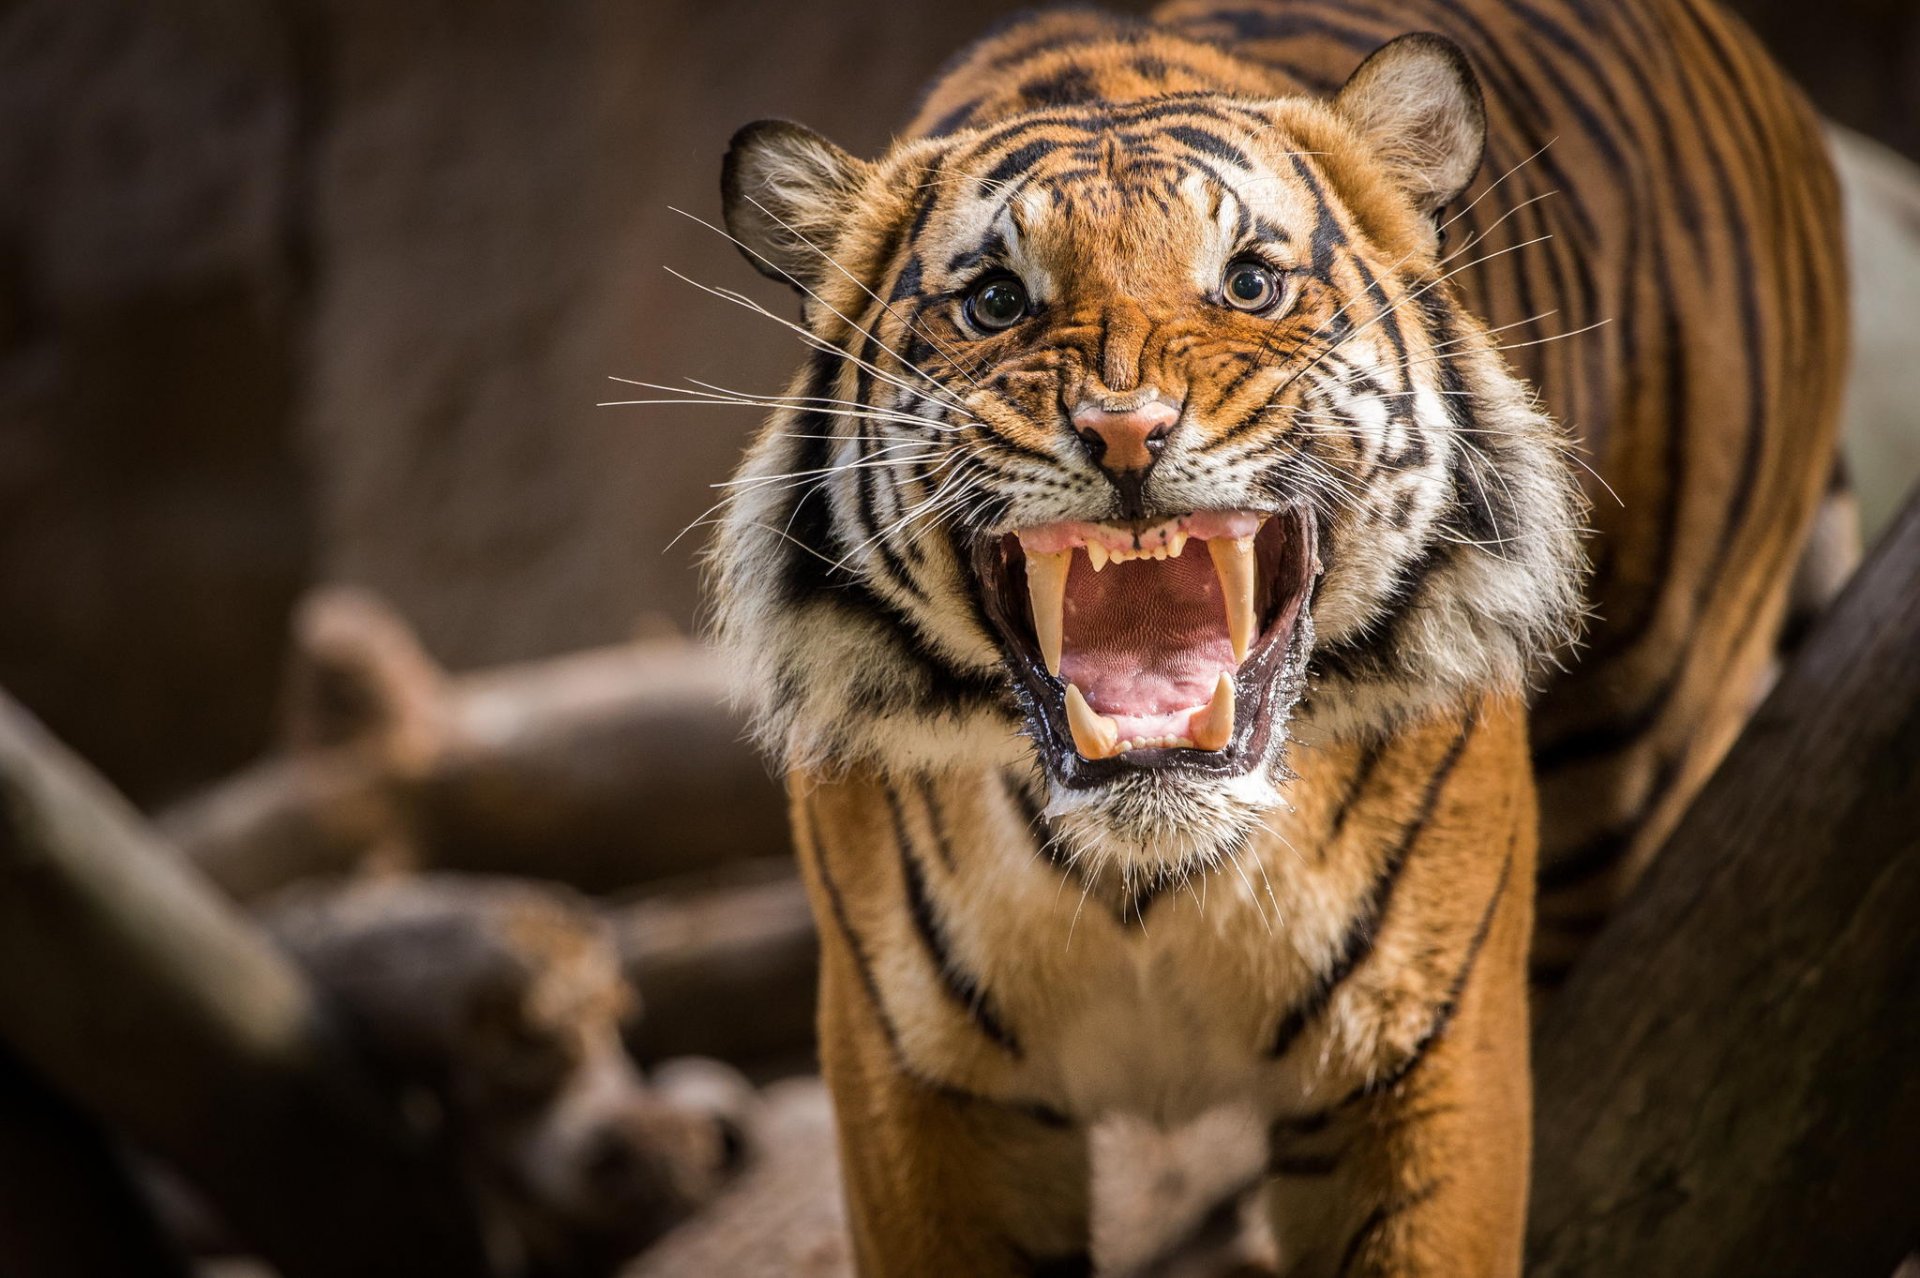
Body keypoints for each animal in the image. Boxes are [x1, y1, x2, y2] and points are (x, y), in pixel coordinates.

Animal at [702, 0, 1843, 1266]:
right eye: (998, 300)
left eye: (1248, 283)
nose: (1128, 431)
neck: (1145, 875)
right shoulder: (918, 1087)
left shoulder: (1424, 1056)